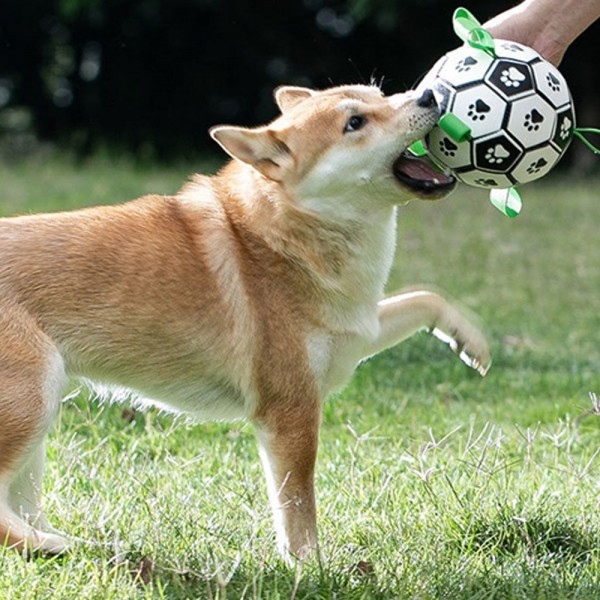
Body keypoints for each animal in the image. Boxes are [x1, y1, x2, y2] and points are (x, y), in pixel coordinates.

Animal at [0, 83, 488, 564]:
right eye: (354, 123)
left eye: (380, 94)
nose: (431, 94)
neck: (284, 238)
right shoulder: (291, 412)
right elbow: (298, 507)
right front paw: (311, 568)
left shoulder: (358, 333)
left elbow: (427, 297)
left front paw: (470, 340)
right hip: (35, 400)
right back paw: (58, 546)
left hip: (39, 424)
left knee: (22, 508)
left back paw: (77, 547)